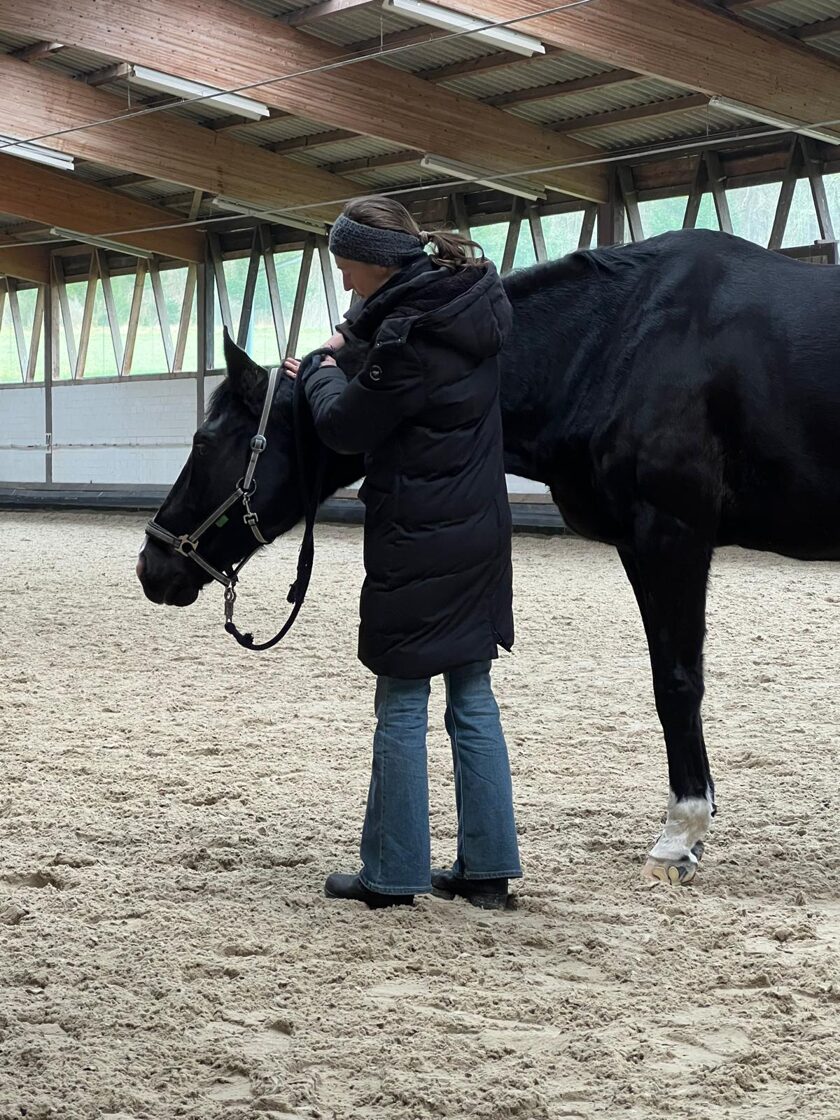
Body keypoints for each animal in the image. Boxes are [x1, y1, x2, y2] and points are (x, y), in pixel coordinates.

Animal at [137, 228, 840, 885]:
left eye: (205, 442)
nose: (153, 566)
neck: (626, 340)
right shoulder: (642, 547)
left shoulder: (672, 536)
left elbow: (677, 682)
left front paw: (680, 837)